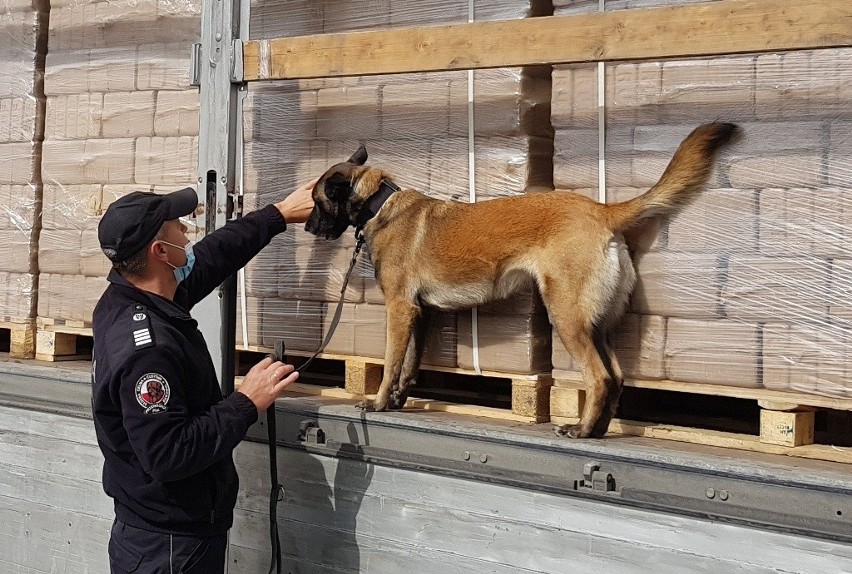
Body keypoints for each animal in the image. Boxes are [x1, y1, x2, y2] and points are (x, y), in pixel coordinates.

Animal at [306, 124, 740, 440]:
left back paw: (582, 430)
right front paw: (397, 400)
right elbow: (410, 364)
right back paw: (595, 430)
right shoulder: (421, 313)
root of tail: (600, 210)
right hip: (595, 322)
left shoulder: (400, 310)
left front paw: (378, 402)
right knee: (615, 377)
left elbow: (391, 361)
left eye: (316, 202)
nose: (307, 226)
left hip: (566, 315)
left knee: (599, 377)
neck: (379, 203)